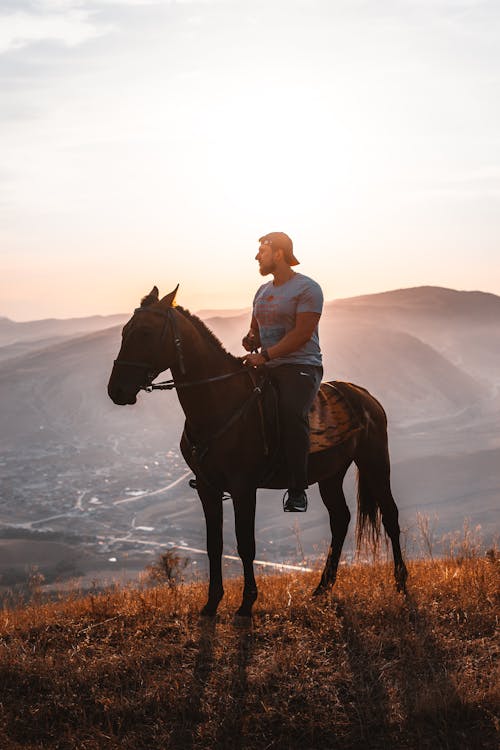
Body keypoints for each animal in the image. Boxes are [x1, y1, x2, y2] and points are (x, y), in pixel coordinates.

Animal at [108, 288, 406, 616]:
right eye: (124, 332)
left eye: (146, 333)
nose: (116, 390)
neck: (219, 403)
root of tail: (365, 396)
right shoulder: (208, 489)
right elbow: (214, 545)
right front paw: (212, 602)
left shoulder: (243, 487)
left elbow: (245, 544)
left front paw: (247, 601)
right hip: (331, 474)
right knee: (340, 520)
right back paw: (322, 589)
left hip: (374, 462)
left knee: (390, 516)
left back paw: (401, 583)